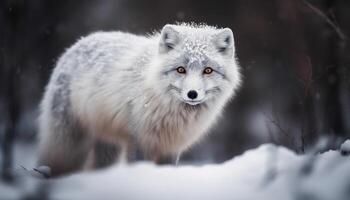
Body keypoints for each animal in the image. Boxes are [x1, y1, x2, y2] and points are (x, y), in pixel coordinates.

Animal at [37, 23, 241, 176]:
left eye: (208, 70)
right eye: (181, 69)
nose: (192, 94)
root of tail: (76, 44)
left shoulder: (171, 147)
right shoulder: (140, 141)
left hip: (108, 147)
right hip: (69, 143)